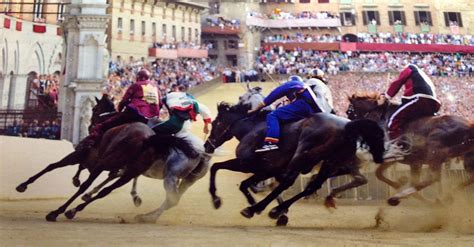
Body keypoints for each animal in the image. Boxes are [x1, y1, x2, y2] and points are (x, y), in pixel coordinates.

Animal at [204, 102, 386, 224]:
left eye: (215, 123)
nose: (207, 145)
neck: (251, 129)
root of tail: (348, 125)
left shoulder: (248, 164)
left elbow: (218, 169)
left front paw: (217, 199)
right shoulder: (270, 170)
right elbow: (257, 185)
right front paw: (277, 210)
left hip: (302, 155)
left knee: (289, 181)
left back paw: (255, 209)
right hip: (331, 163)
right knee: (312, 185)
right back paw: (275, 210)